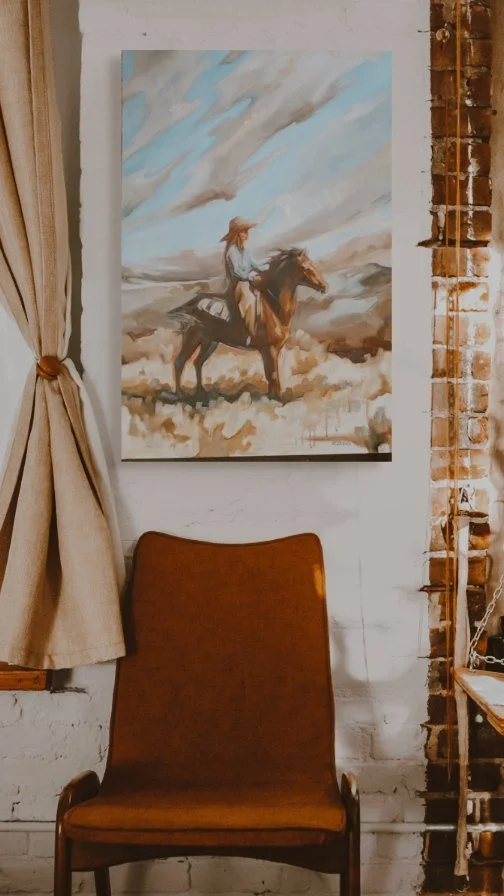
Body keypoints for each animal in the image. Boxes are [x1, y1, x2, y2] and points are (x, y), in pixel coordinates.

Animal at [166, 248, 327, 401]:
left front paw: (272, 395)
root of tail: (192, 303)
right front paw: (277, 397)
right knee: (179, 362)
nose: (324, 286)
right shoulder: (269, 349)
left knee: (197, 363)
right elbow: (272, 374)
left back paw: (201, 392)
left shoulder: (272, 350)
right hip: (192, 338)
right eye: (305, 267)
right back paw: (180, 394)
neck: (273, 307)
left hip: (210, 342)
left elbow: (272, 373)